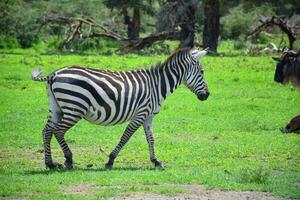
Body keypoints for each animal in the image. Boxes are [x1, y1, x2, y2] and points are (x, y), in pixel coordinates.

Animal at [30, 48, 209, 169]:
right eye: (202, 72)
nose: (207, 95)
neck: (157, 85)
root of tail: (54, 74)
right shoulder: (141, 113)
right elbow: (126, 136)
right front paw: (110, 160)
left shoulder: (149, 116)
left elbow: (151, 138)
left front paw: (156, 161)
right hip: (74, 108)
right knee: (58, 131)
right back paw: (68, 159)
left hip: (57, 108)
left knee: (47, 130)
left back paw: (50, 163)